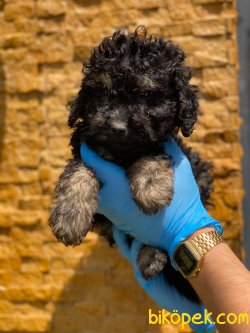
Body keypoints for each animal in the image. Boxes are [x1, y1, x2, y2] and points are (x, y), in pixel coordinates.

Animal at [48, 25, 213, 300]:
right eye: (103, 93)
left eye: (146, 95)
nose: (116, 127)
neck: (122, 155)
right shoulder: (84, 147)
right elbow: (78, 170)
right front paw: (70, 217)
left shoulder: (172, 148)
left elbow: (151, 152)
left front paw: (151, 188)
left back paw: (151, 256)